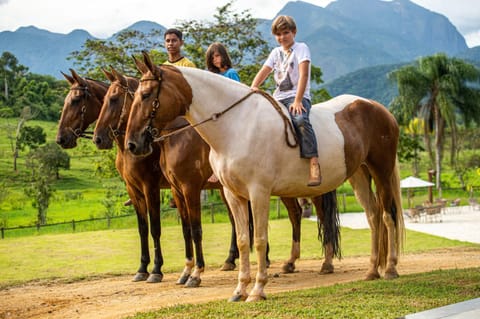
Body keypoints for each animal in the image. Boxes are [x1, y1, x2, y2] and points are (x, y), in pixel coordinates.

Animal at [93, 67, 342, 288]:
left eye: (114, 99)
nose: (98, 138)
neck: (174, 140)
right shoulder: (164, 190)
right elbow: (171, 229)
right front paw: (169, 271)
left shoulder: (172, 187)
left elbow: (185, 229)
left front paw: (176, 272)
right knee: (293, 214)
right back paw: (282, 262)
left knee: (318, 215)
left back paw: (324, 261)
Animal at [125, 53, 404, 304]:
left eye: (146, 95)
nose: (132, 143)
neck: (237, 125)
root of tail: (379, 109)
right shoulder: (233, 195)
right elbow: (243, 241)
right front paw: (239, 290)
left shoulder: (258, 192)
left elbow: (259, 240)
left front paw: (257, 290)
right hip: (359, 175)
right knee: (373, 217)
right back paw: (372, 271)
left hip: (381, 171)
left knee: (387, 216)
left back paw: (390, 268)